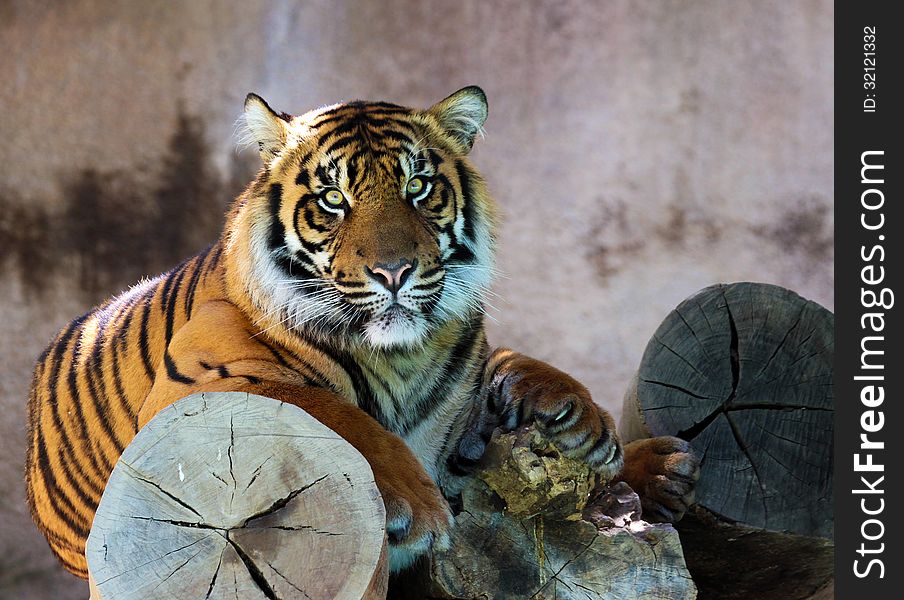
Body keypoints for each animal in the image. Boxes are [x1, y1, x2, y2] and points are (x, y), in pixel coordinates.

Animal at [23, 86, 700, 580]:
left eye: (418, 188)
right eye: (331, 198)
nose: (393, 271)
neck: (400, 355)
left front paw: (579, 420)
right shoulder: (193, 387)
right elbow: (327, 408)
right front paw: (416, 505)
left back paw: (663, 468)